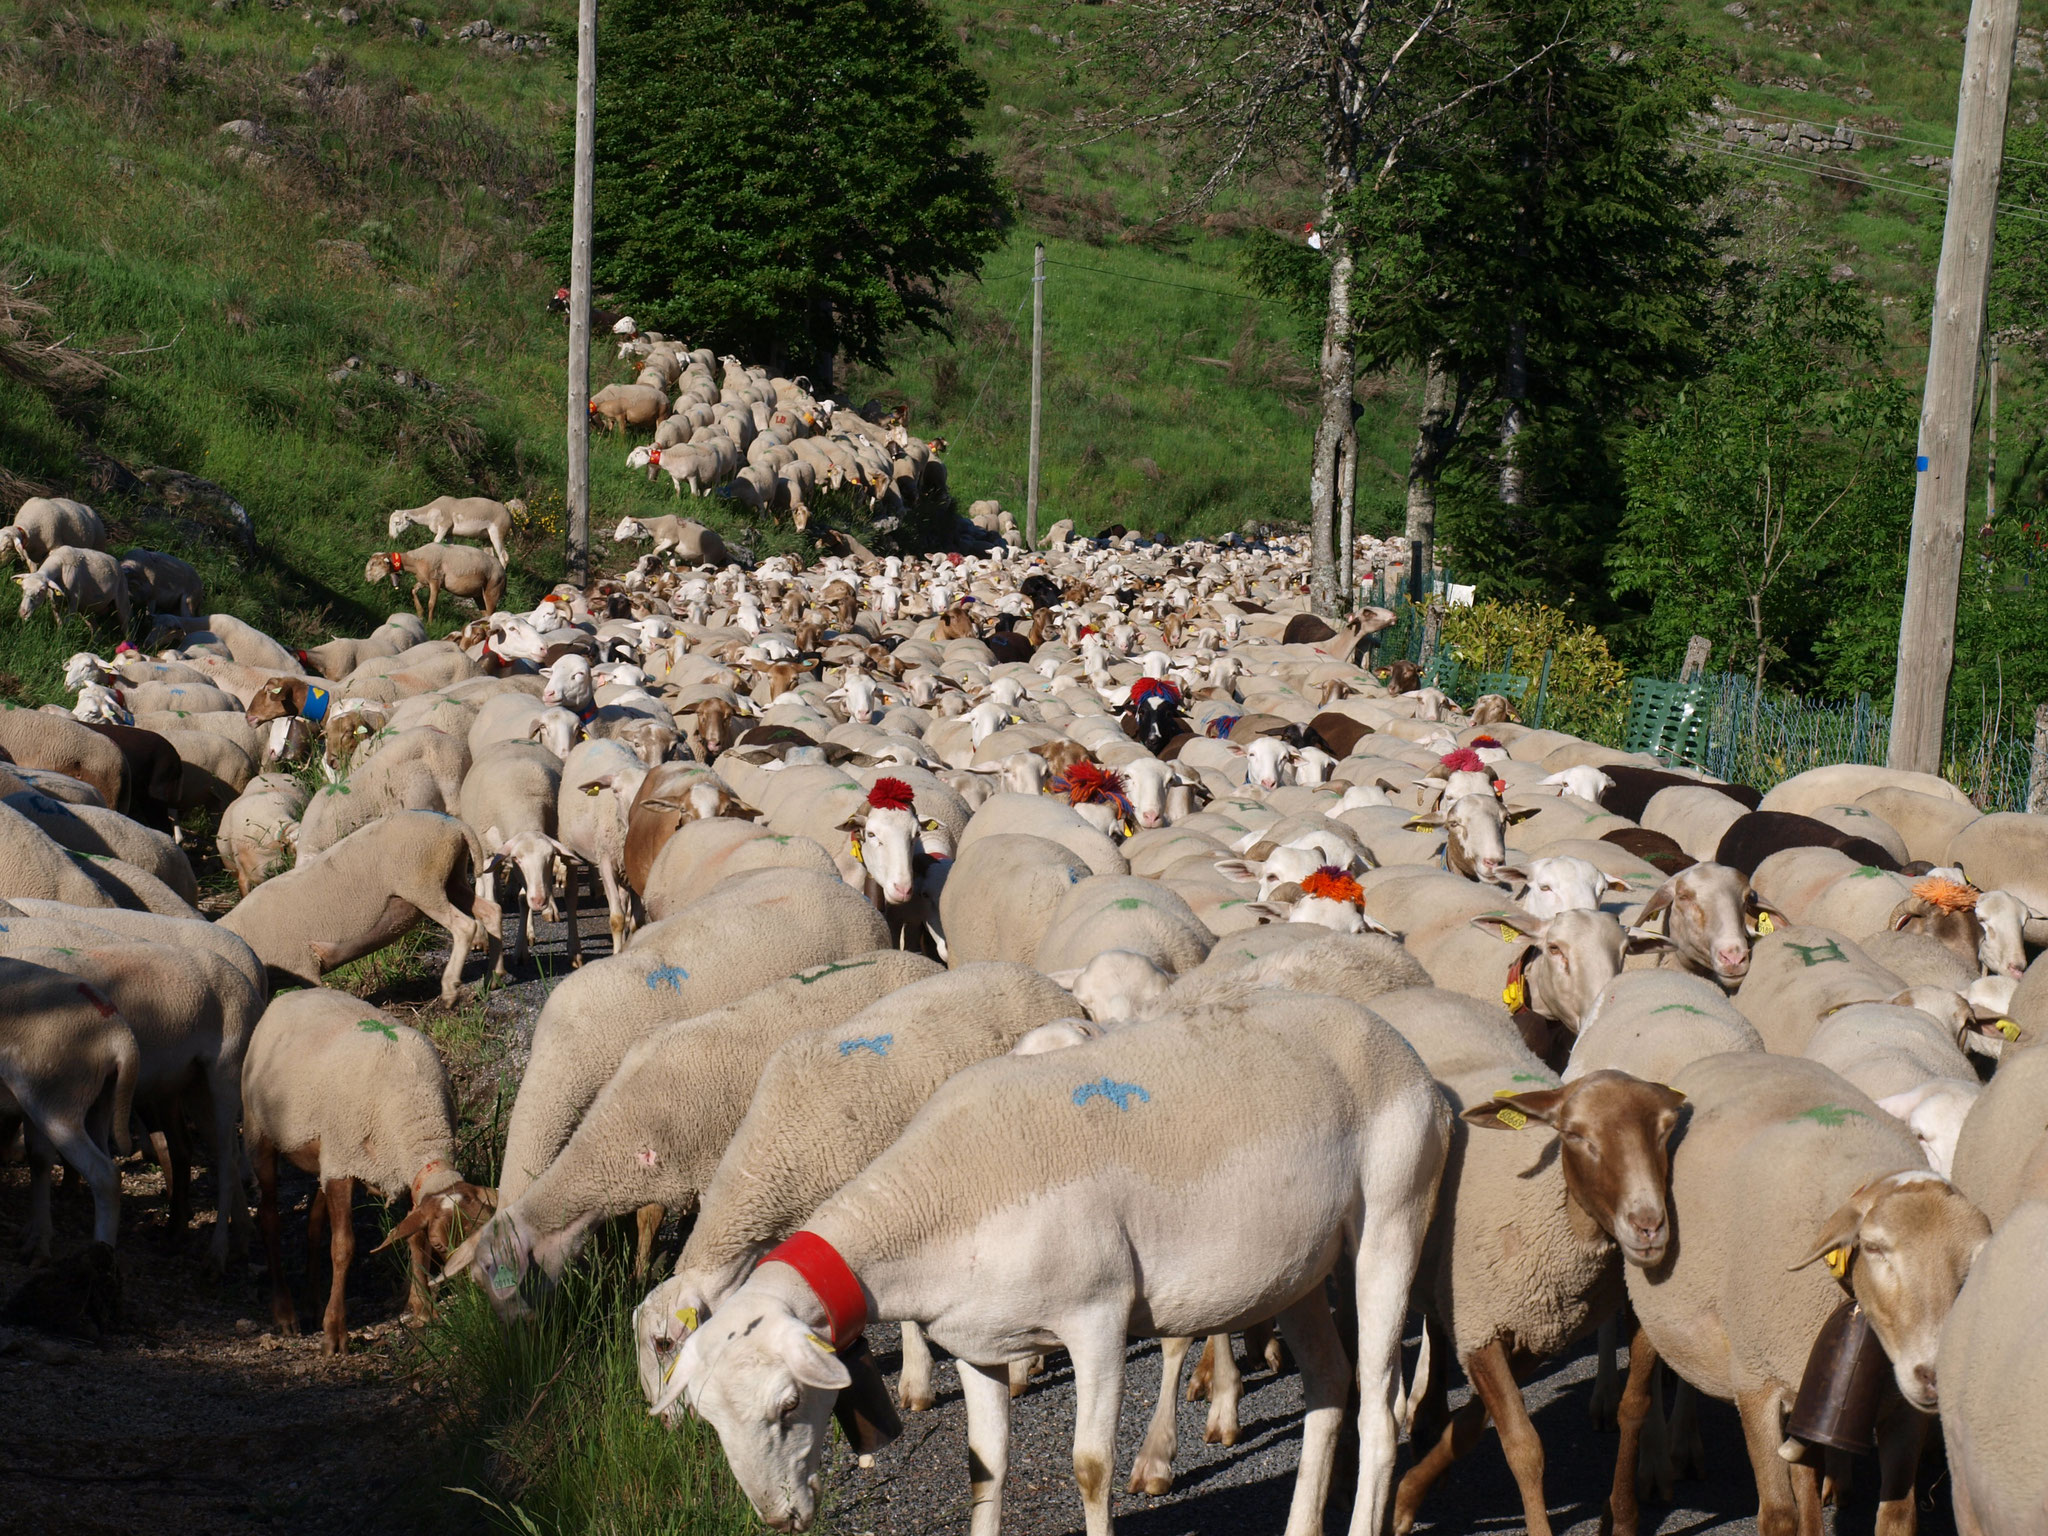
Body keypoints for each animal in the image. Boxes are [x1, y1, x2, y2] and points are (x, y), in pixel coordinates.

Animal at [238, 991, 491, 1351]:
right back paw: (285, 1312)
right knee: (270, 1218)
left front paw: (422, 1308)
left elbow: (413, 1237)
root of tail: (293, 994)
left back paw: (312, 1303)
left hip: (327, 1153)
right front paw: (335, 1333)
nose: (475, 1293)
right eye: (442, 1246)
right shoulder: (343, 1169)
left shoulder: (400, 1173)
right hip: (262, 1133)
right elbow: (343, 1248)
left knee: (314, 1224)